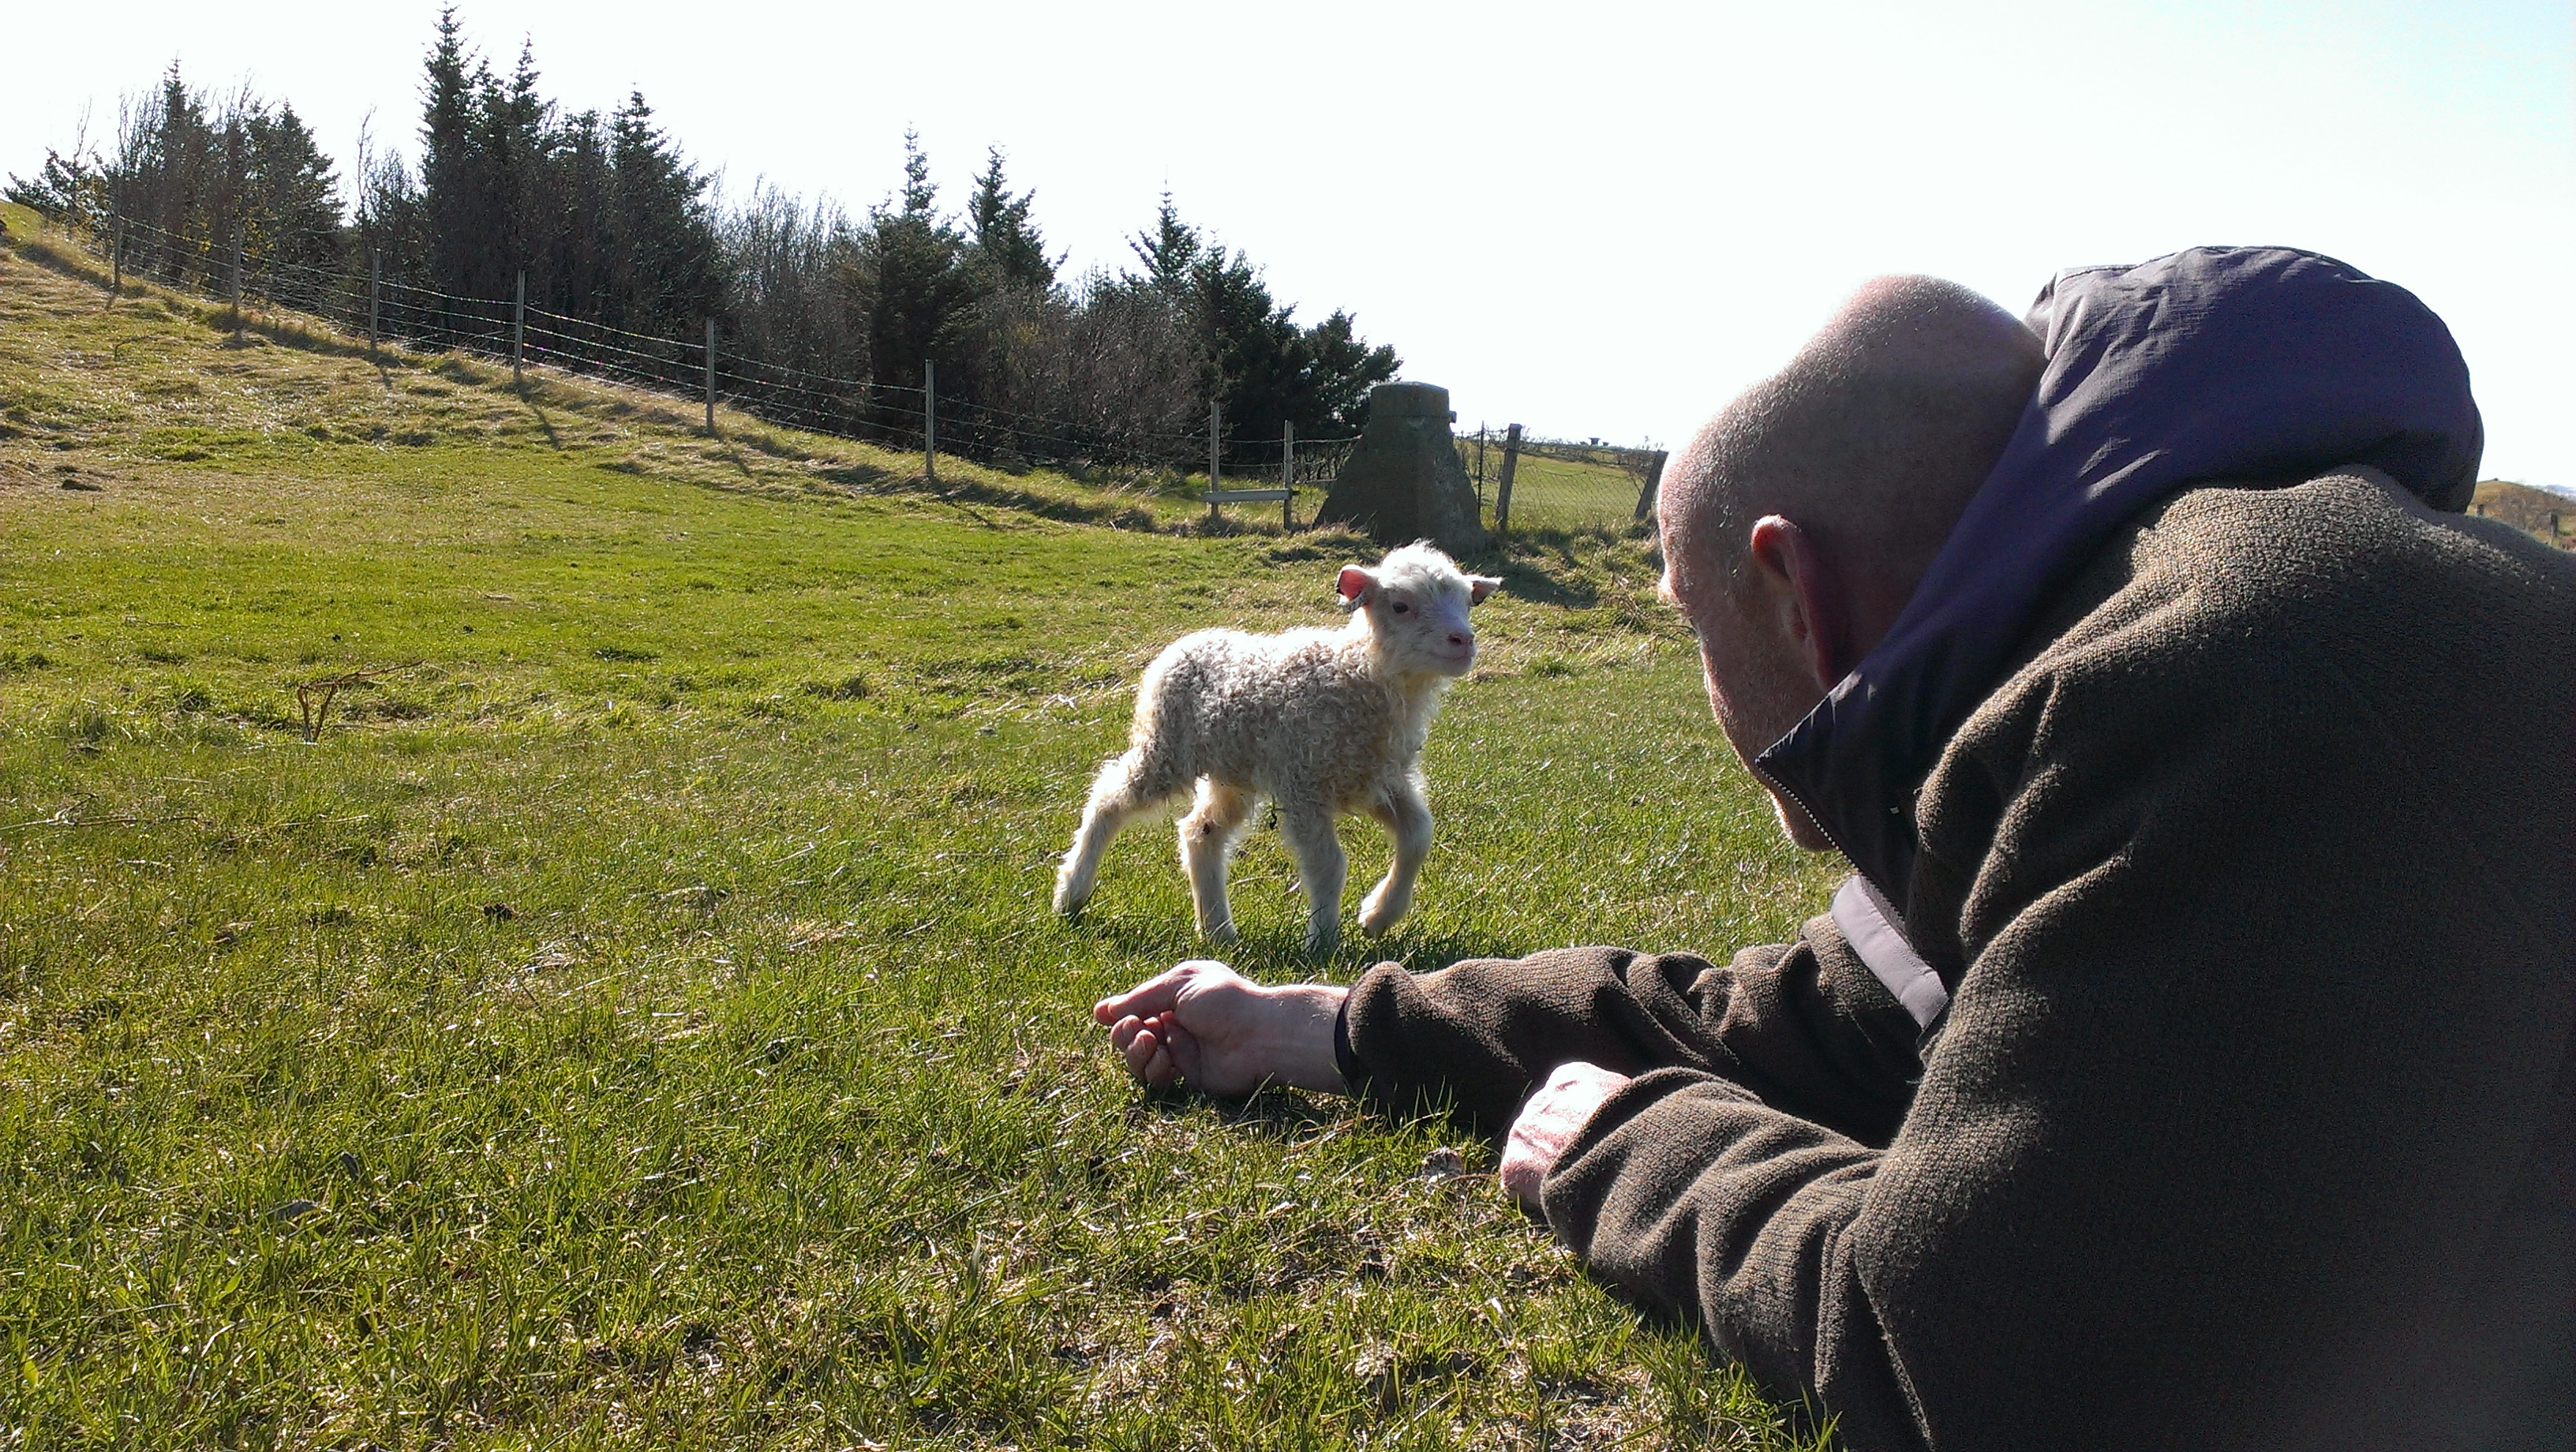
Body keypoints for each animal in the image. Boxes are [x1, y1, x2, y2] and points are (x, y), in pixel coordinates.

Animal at [1052, 542, 1502, 954]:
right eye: (1401, 606)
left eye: (1468, 602)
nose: (1463, 640)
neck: (1359, 674)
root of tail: (1188, 641)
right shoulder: (1304, 782)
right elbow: (1328, 863)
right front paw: (1322, 942)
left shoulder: (1377, 779)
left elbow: (1418, 836)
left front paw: (1378, 915)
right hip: (1165, 747)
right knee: (1109, 797)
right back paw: (1072, 891)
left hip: (1231, 772)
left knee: (1201, 831)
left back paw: (1218, 931)